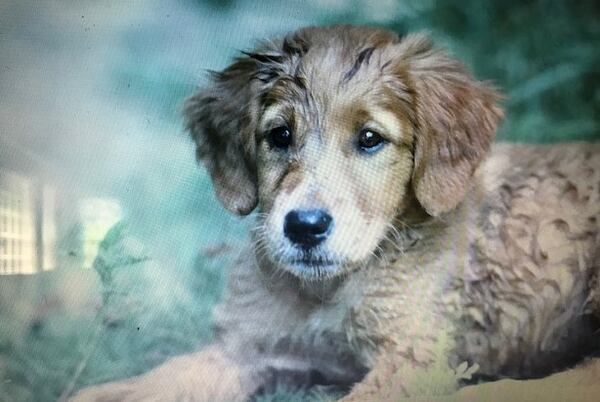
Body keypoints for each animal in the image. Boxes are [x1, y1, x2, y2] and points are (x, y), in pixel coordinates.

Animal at [75, 25, 600, 402]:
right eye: (280, 135)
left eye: (370, 138)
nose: (305, 227)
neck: (329, 290)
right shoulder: (243, 349)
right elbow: (149, 383)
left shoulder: (415, 359)